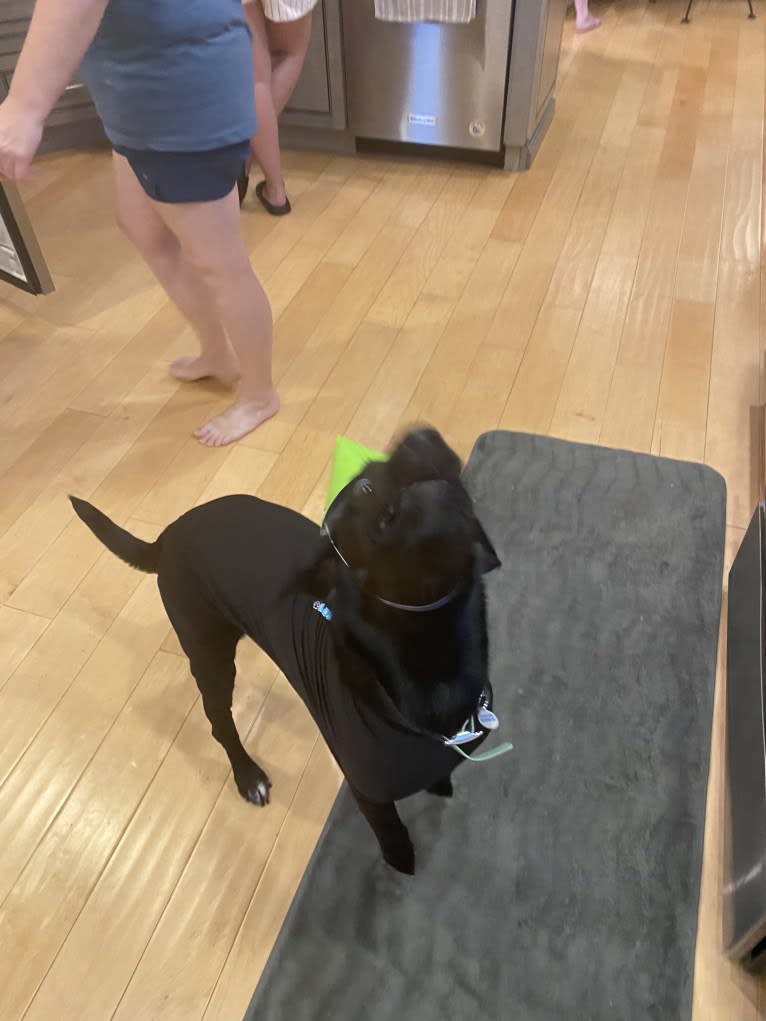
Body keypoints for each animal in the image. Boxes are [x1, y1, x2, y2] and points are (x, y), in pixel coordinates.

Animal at [70, 426, 504, 873]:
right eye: (365, 486)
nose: (421, 434)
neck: (435, 653)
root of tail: (165, 537)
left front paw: (441, 787)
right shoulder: (370, 792)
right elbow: (392, 833)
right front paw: (402, 865)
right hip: (209, 654)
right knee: (219, 722)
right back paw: (248, 776)